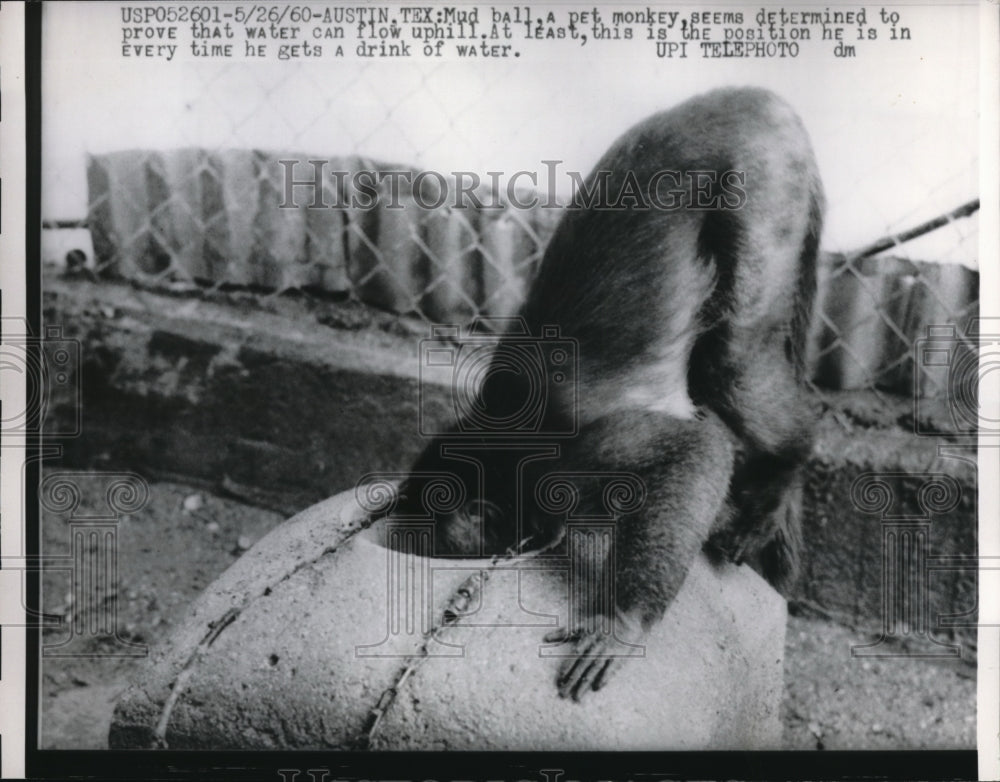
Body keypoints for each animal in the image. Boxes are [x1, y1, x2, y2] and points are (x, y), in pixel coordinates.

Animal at [382, 87, 820, 704]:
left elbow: (694, 453)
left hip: (761, 177)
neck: (497, 441)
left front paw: (622, 620)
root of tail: (749, 99)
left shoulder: (562, 466)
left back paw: (785, 475)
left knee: (733, 362)